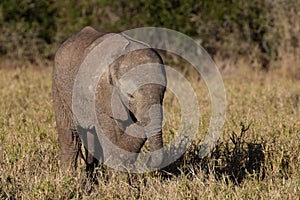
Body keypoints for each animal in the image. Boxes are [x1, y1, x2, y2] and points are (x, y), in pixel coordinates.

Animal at [53, 26, 168, 173]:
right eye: (130, 96)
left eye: (163, 92)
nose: (148, 161)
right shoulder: (102, 95)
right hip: (59, 86)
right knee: (70, 137)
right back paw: (68, 176)